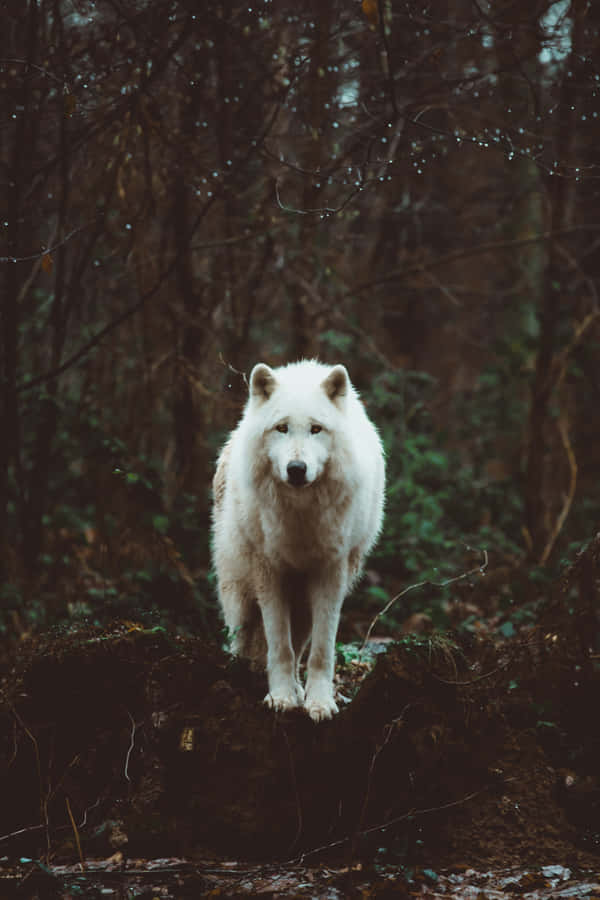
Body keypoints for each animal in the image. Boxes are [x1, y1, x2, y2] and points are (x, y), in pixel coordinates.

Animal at [212, 360, 385, 721]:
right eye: (281, 428)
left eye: (316, 429)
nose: (296, 468)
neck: (300, 515)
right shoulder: (268, 572)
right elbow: (279, 645)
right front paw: (280, 698)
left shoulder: (331, 573)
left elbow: (321, 649)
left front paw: (319, 702)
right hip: (238, 589)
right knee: (240, 637)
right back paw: (240, 676)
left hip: (304, 598)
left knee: (300, 641)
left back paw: (298, 689)